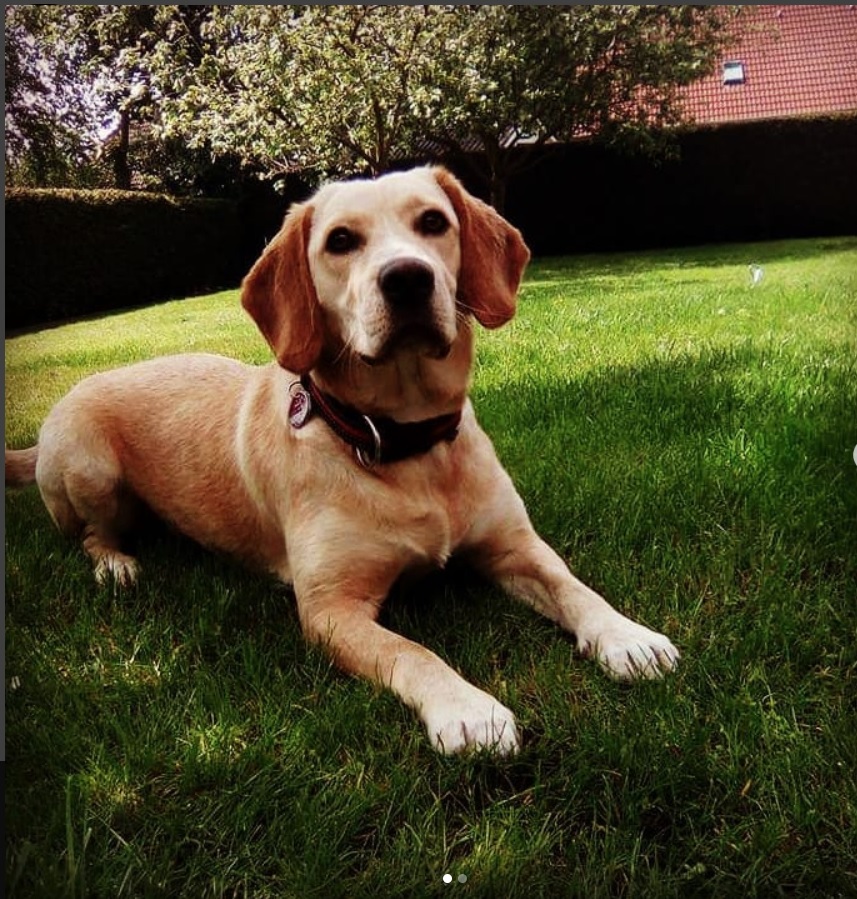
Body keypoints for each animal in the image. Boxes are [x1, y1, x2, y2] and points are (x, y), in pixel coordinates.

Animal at [3, 167, 680, 752]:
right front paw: (467, 709)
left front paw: (627, 636)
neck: (404, 445)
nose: (406, 278)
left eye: (433, 222)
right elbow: (413, 652)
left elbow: (573, 586)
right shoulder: (330, 609)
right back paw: (116, 564)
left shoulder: (514, 546)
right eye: (341, 241)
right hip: (89, 468)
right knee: (91, 535)